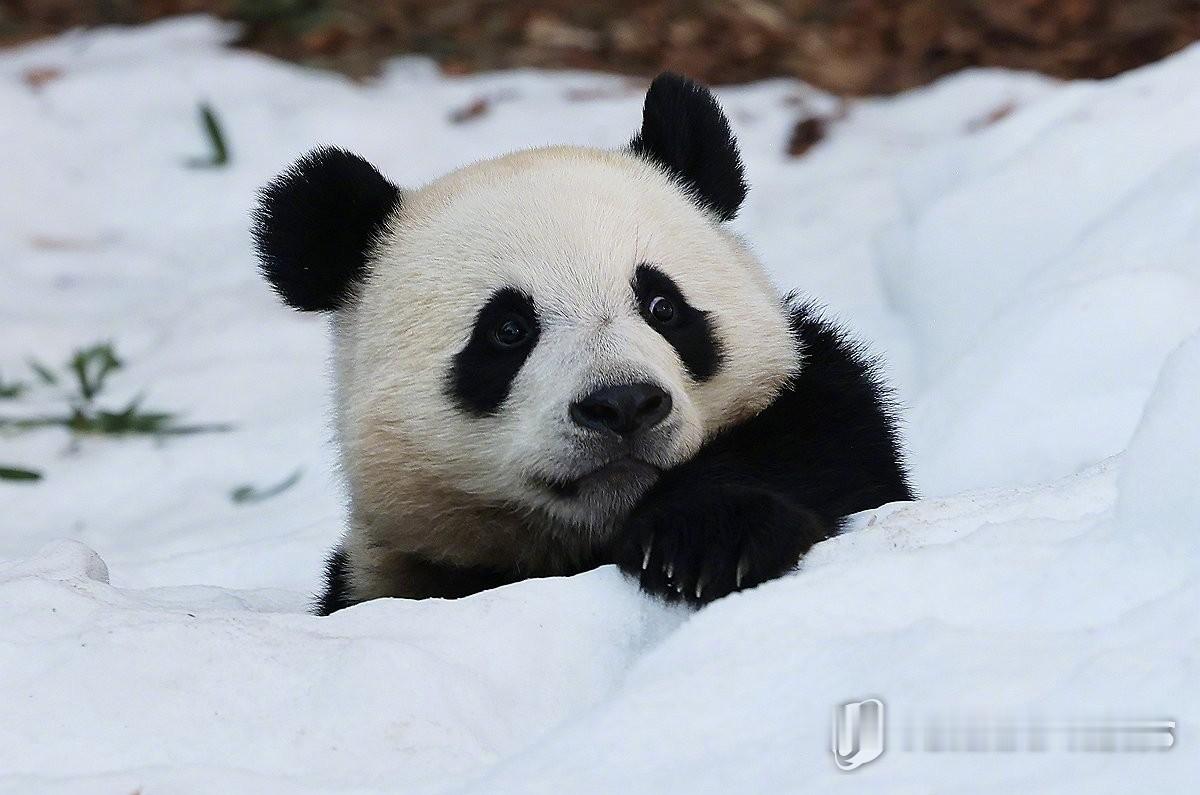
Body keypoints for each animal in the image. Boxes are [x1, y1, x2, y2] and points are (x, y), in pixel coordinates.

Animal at [250, 71, 907, 614]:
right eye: (508, 331)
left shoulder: (821, 413)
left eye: (663, 307)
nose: (624, 405)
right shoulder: (391, 567)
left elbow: (819, 444)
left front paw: (710, 538)